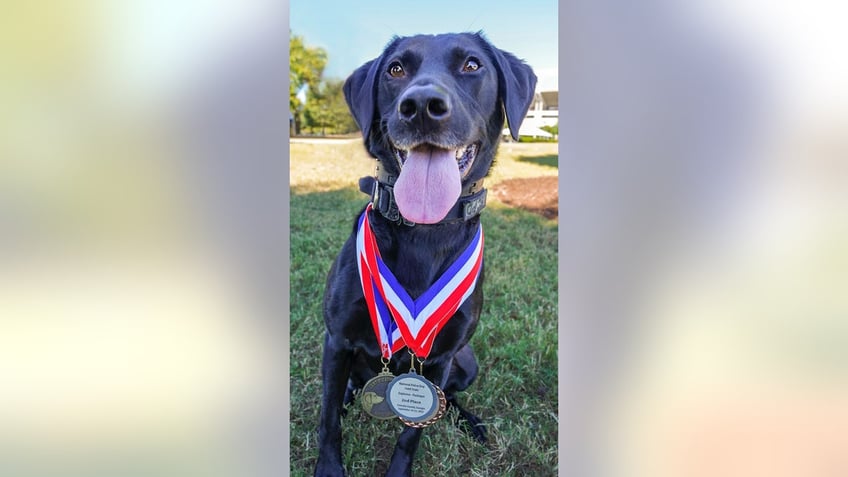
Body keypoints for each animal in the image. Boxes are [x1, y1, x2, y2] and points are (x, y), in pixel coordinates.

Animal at [314, 31, 532, 474]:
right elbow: (328, 419)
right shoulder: (337, 340)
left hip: (467, 361)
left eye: (472, 64)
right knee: (343, 391)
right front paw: (328, 466)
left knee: (450, 400)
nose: (421, 107)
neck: (424, 233)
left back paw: (471, 421)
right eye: (396, 69)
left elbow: (411, 434)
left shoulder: (440, 358)